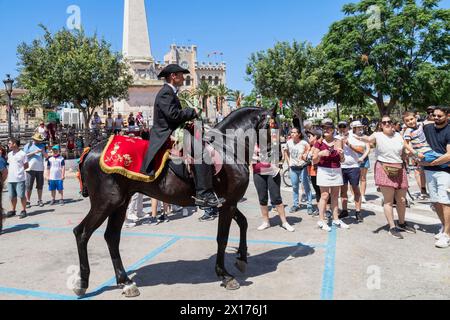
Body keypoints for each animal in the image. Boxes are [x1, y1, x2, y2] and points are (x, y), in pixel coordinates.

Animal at [73, 107, 278, 298]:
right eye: (274, 125)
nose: (272, 155)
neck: (228, 148)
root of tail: (90, 150)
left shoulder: (227, 203)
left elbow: (243, 223)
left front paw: (241, 258)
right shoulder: (228, 204)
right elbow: (223, 238)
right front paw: (225, 275)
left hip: (120, 203)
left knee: (112, 237)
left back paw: (125, 282)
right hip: (106, 203)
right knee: (82, 233)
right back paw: (82, 282)